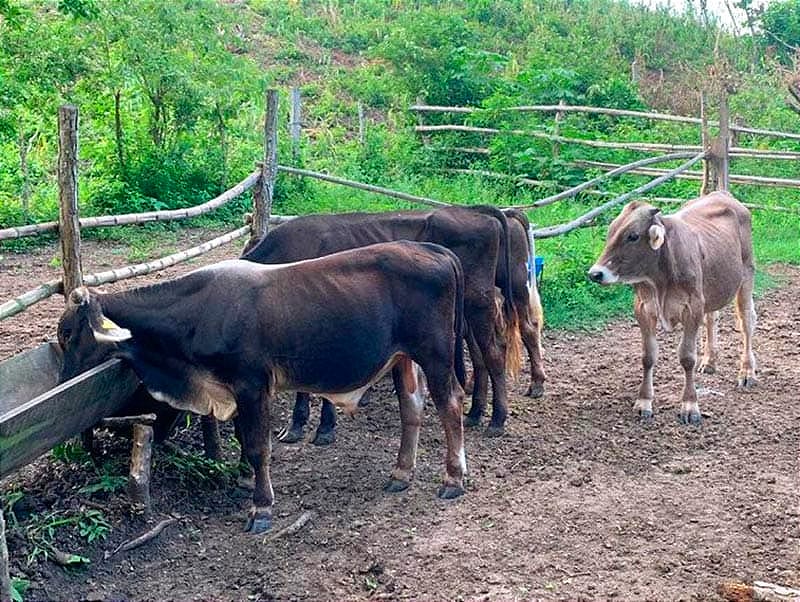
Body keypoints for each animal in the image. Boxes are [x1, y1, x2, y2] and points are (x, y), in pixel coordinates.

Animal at [57, 239, 468, 528]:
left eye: (67, 334)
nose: (63, 380)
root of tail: (433, 249)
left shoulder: (251, 384)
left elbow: (258, 447)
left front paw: (261, 507)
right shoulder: (234, 390)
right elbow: (243, 438)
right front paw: (245, 483)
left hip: (435, 353)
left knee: (450, 404)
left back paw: (453, 479)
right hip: (403, 358)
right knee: (412, 409)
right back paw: (401, 473)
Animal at [239, 204, 524, 442]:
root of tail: (474, 211)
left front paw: (324, 428)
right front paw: (297, 425)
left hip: (479, 303)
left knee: (493, 353)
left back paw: (497, 419)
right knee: (480, 356)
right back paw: (475, 413)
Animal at [588, 192, 756, 422]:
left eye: (633, 236)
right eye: (610, 232)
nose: (595, 273)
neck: (660, 280)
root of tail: (721, 194)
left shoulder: (693, 307)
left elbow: (687, 357)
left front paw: (690, 406)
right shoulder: (643, 308)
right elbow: (648, 356)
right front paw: (644, 402)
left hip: (746, 275)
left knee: (746, 322)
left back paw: (747, 372)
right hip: (712, 290)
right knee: (712, 319)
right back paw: (709, 362)